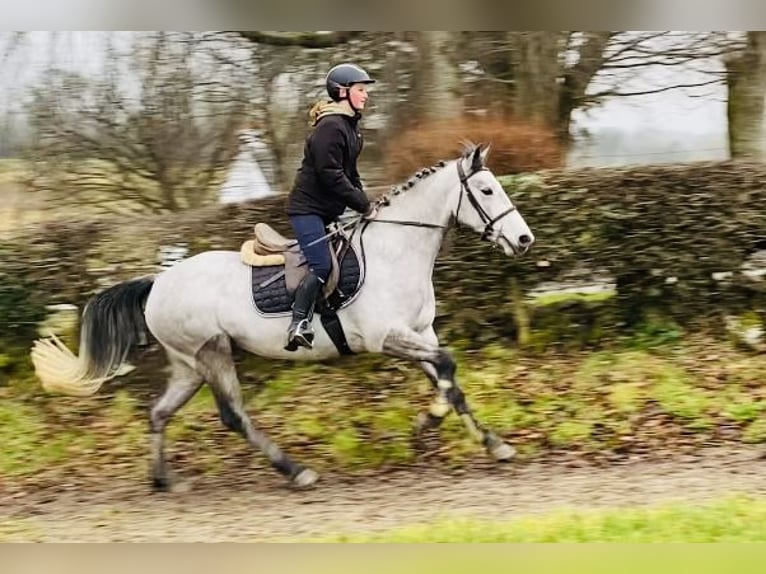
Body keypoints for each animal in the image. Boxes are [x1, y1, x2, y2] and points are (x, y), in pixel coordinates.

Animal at [30, 143, 536, 490]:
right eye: (486, 190)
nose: (524, 240)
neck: (397, 249)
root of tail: (157, 283)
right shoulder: (386, 337)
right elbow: (447, 366)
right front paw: (431, 426)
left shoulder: (419, 333)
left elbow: (448, 380)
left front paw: (486, 442)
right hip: (211, 353)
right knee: (233, 416)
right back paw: (296, 471)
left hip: (187, 364)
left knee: (159, 412)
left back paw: (164, 480)